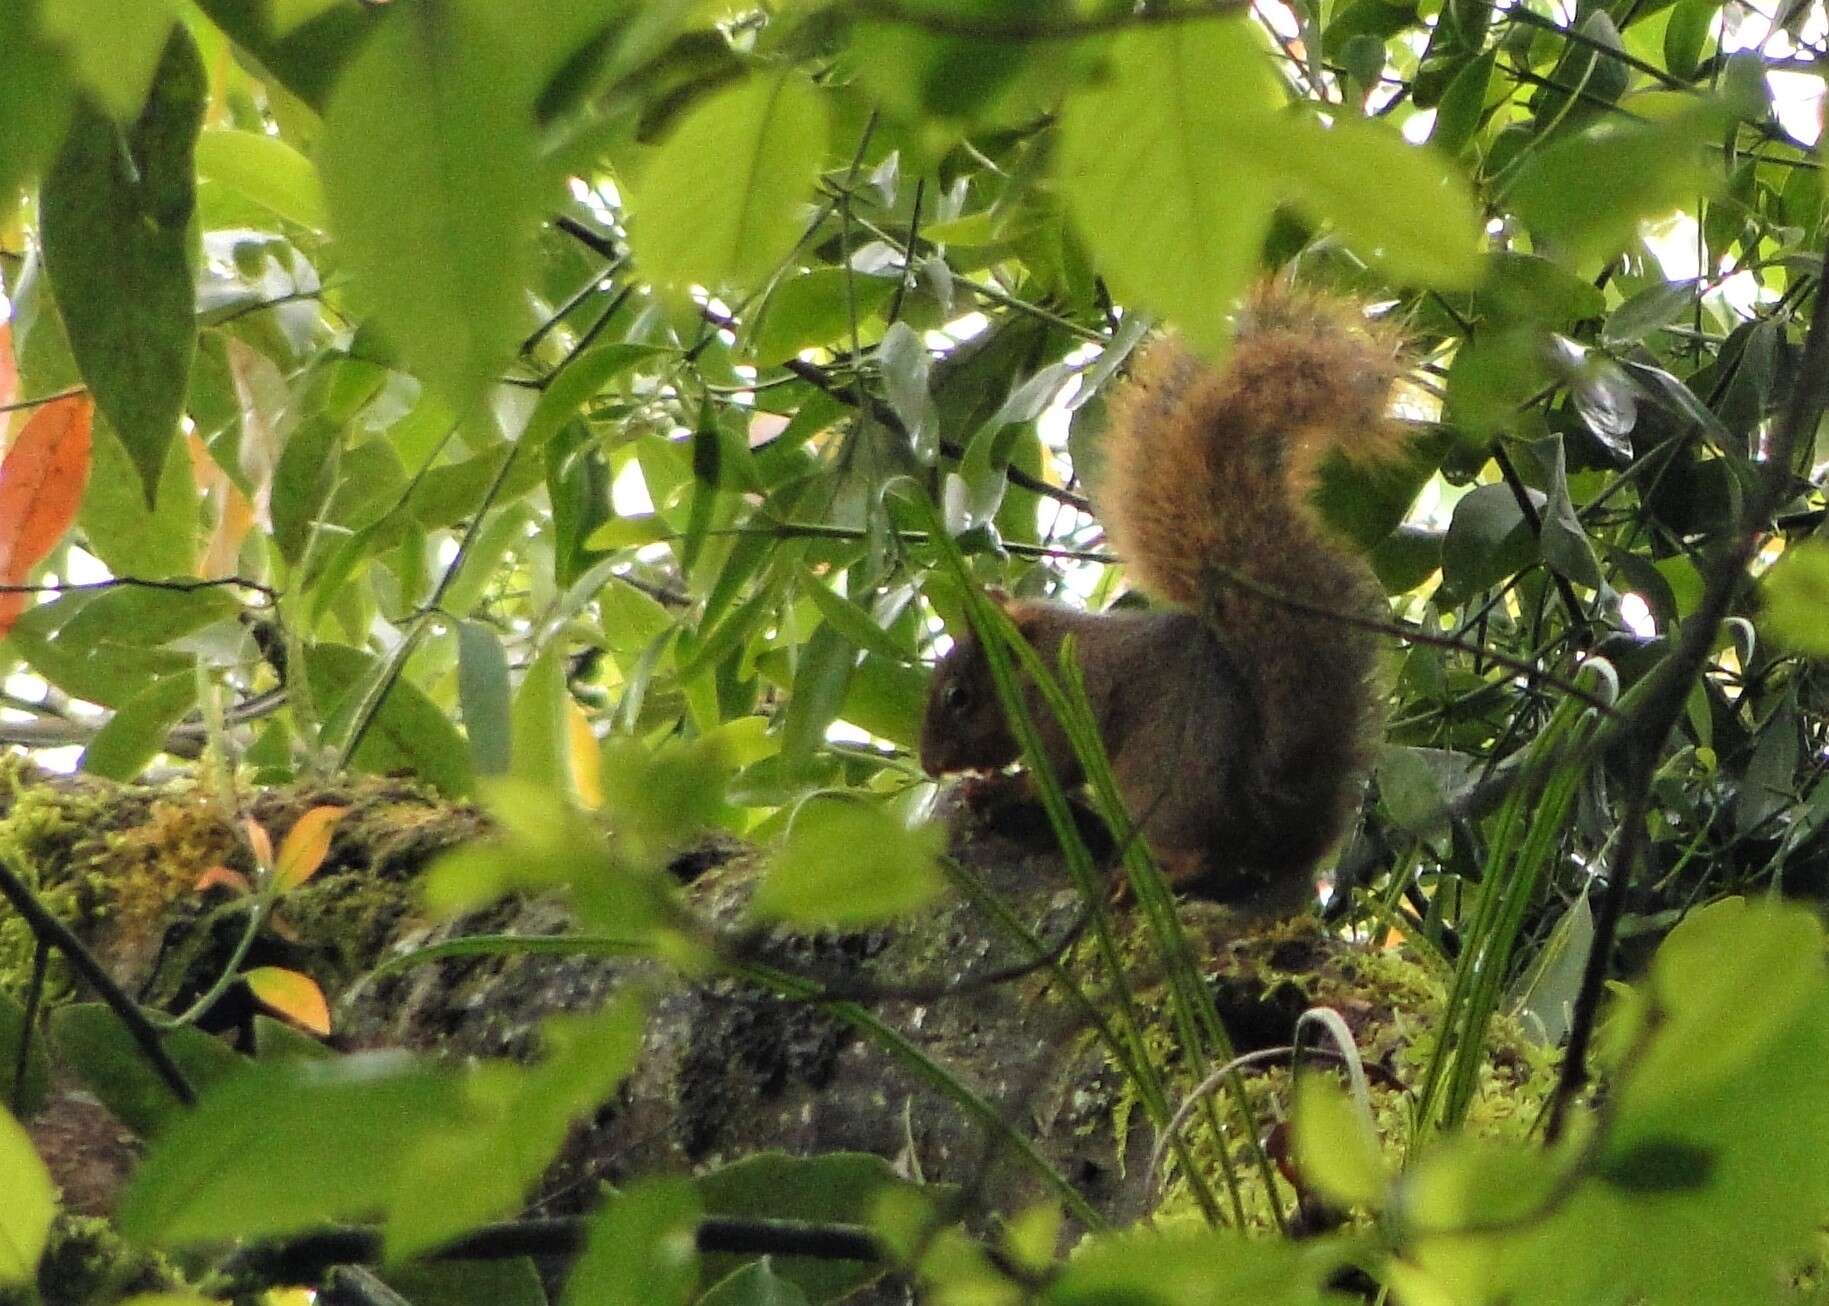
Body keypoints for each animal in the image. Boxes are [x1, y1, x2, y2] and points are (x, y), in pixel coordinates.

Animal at [921, 278, 1404, 907]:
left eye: (958, 696)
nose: (929, 765)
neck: (1036, 657)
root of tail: (1265, 824)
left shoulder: (1067, 702)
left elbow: (1056, 767)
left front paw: (1004, 789)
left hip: (1158, 785)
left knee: (1192, 851)